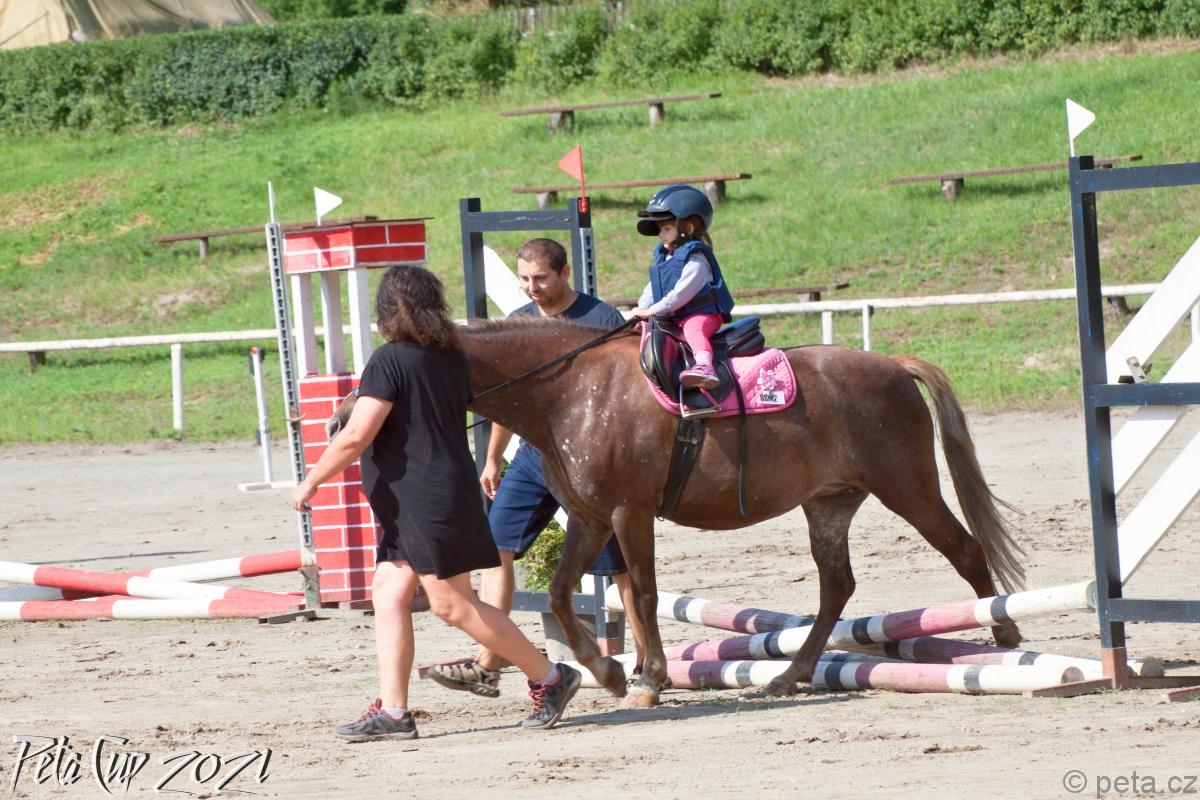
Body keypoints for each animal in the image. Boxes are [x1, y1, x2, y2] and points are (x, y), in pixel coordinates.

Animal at [329, 317, 1025, 707]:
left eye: (383, 373)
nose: (339, 423)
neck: (569, 391)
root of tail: (892, 366)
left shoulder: (627, 513)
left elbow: (640, 594)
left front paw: (645, 679)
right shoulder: (589, 518)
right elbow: (561, 592)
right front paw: (608, 670)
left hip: (907, 488)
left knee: (965, 550)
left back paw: (1007, 638)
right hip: (828, 506)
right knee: (837, 586)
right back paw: (791, 673)